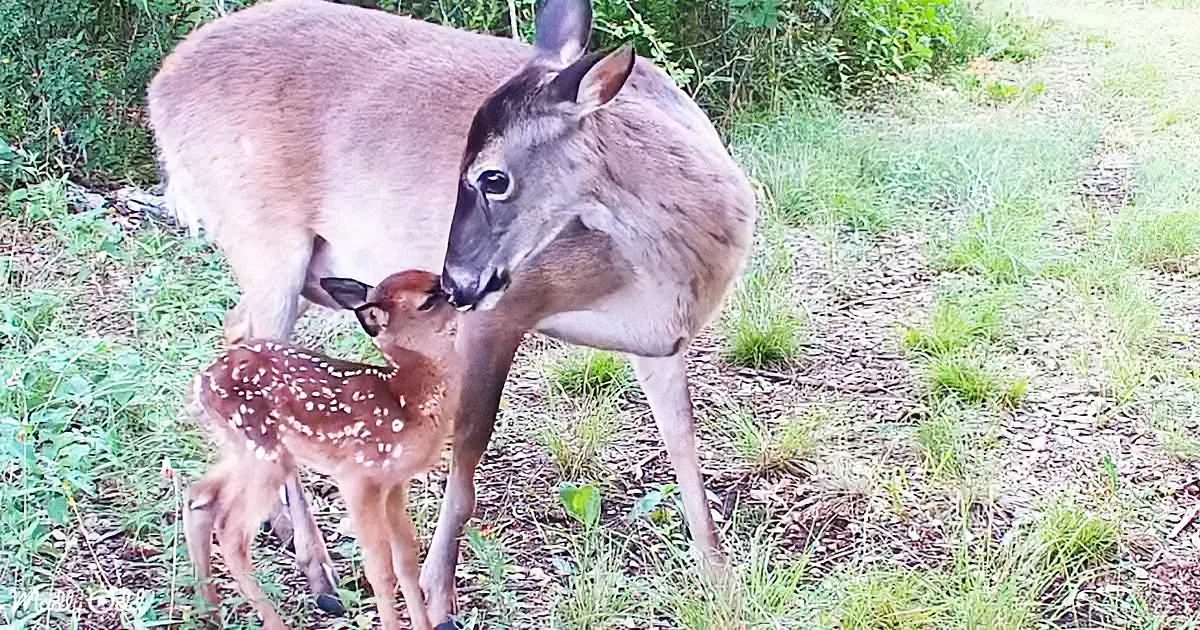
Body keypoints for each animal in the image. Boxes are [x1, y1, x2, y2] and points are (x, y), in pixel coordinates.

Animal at [183, 269, 457, 630]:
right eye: (428, 300)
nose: (460, 291)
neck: (408, 399)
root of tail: (201, 384)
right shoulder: (358, 476)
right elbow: (380, 569)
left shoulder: (394, 483)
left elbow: (406, 562)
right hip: (264, 452)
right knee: (231, 531)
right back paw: (272, 622)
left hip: (246, 449)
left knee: (200, 496)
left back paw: (210, 611)